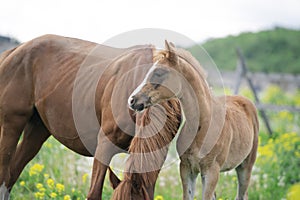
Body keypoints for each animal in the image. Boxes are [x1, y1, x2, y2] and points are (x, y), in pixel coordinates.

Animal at [0, 35, 178, 199]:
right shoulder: (104, 145)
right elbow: (94, 193)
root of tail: (14, 51)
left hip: (37, 130)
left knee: (12, 174)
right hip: (12, 123)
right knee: (4, 174)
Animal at [127, 41, 258, 199]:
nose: (132, 100)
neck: (203, 125)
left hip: (246, 165)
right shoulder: (186, 168)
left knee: (242, 194)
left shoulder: (211, 171)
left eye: (159, 72)